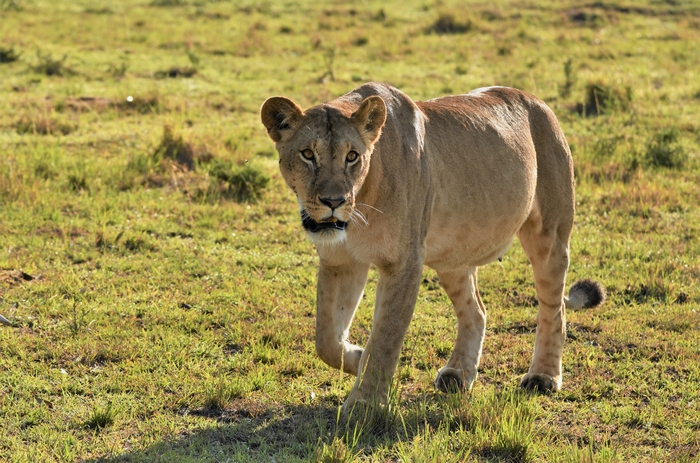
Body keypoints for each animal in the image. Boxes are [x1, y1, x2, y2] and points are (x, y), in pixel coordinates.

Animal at [260, 82, 604, 412]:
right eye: (307, 154)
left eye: (352, 157)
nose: (334, 202)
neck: (363, 200)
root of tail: (539, 102)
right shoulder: (340, 260)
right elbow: (326, 338)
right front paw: (357, 358)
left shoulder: (404, 263)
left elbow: (385, 337)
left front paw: (364, 403)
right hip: (454, 256)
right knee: (476, 311)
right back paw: (458, 374)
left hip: (550, 235)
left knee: (554, 308)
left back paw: (543, 376)